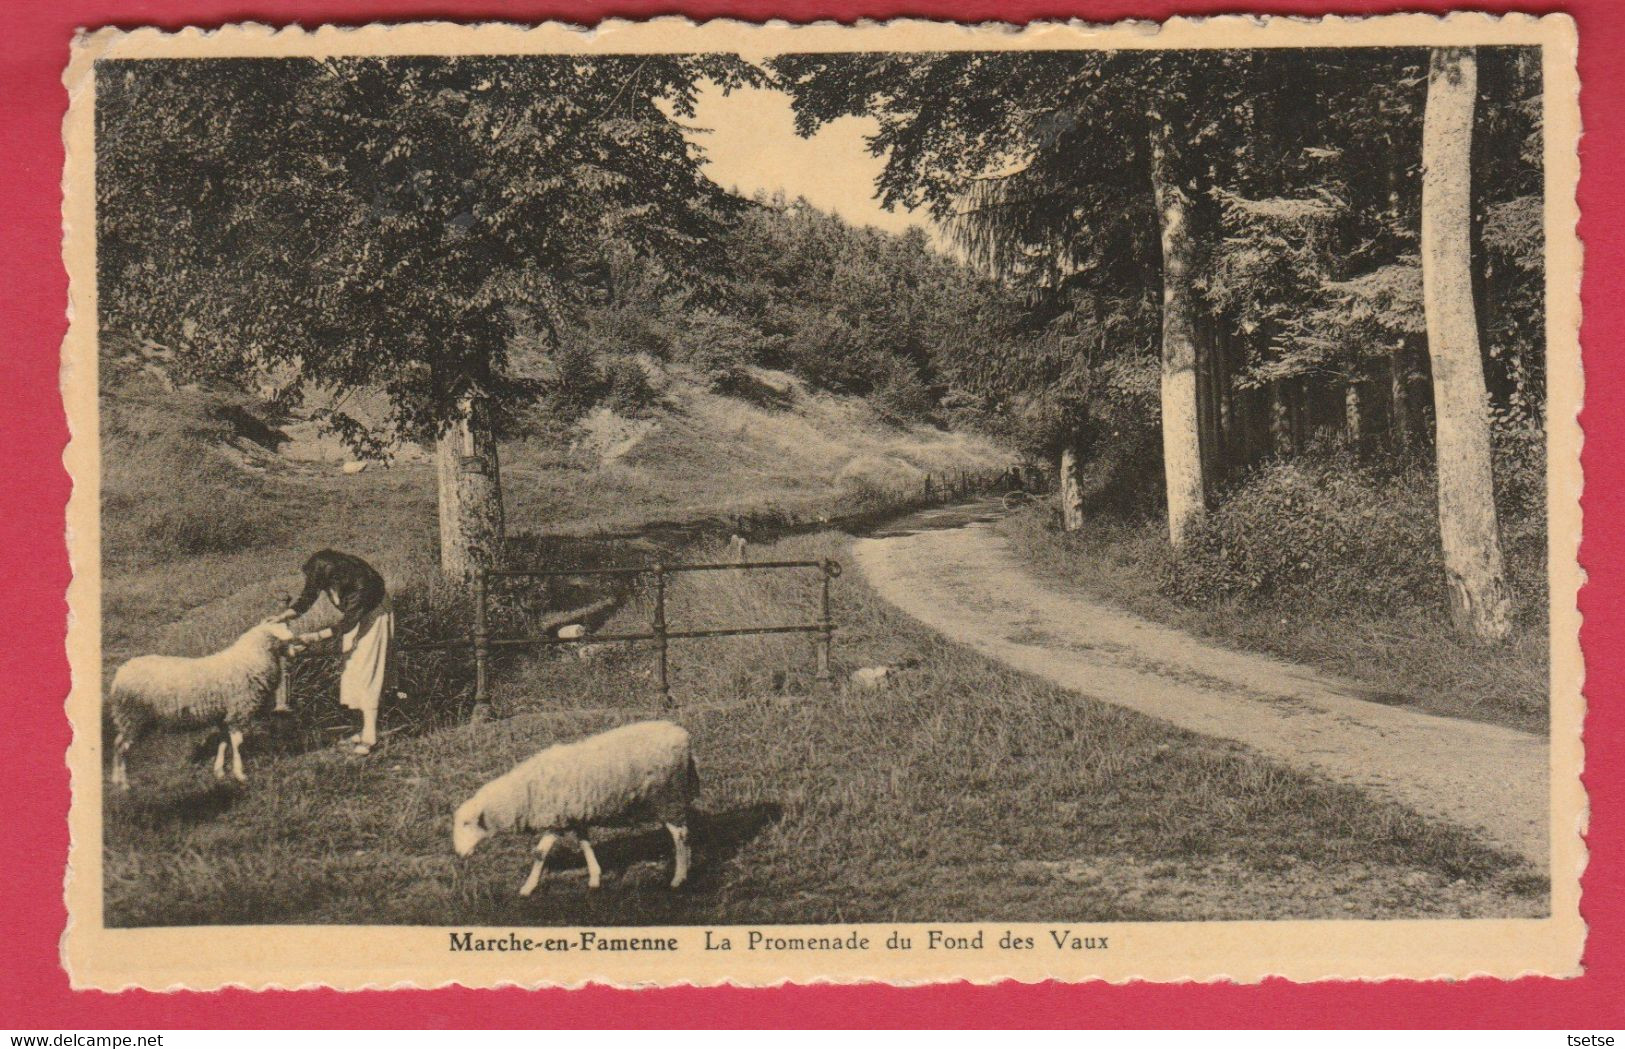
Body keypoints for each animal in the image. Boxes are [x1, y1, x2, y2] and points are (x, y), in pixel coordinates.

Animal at [108, 623, 295, 789]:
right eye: (287, 640)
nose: (295, 653)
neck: (250, 660)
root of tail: (119, 674)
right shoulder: (238, 712)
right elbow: (238, 743)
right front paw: (240, 774)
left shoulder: (223, 715)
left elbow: (223, 741)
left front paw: (219, 771)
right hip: (132, 716)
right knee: (122, 747)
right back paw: (124, 784)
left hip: (131, 720)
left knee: (117, 743)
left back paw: (116, 780)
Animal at [451, 724, 698, 896]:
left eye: (466, 824)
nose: (460, 855)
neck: (521, 794)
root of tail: (684, 736)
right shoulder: (575, 817)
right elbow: (585, 844)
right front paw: (595, 878)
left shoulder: (556, 820)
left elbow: (539, 853)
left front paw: (527, 888)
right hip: (675, 797)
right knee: (686, 832)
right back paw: (688, 866)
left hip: (667, 795)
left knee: (678, 835)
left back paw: (678, 878)